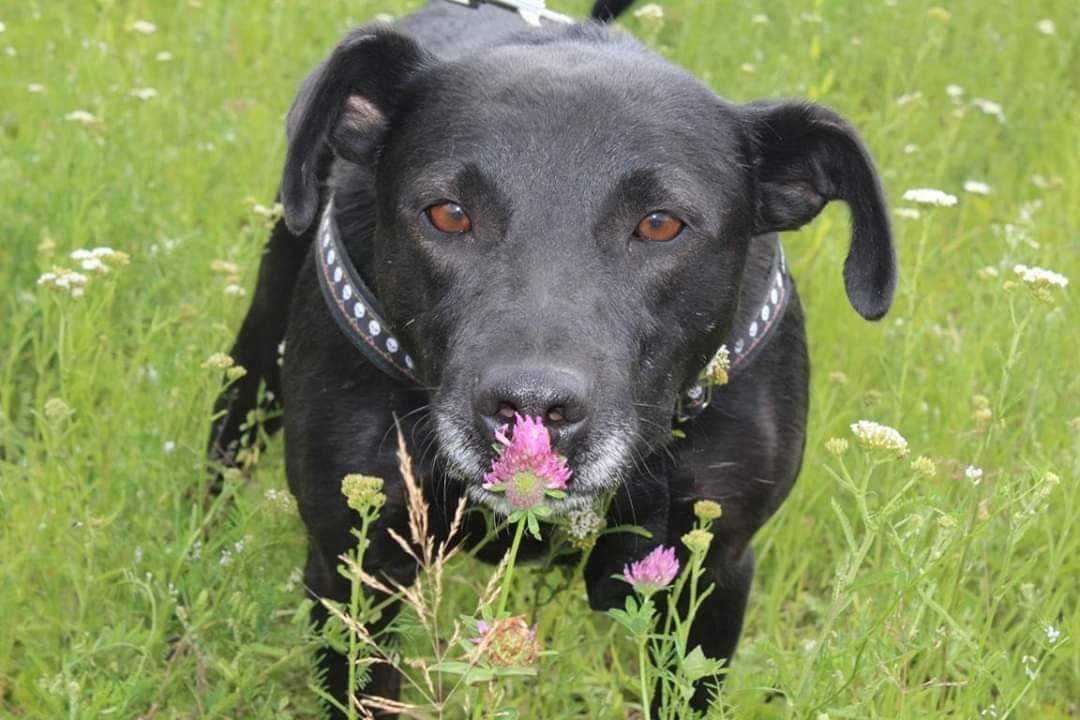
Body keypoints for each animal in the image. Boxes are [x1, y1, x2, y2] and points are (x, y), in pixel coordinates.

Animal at [208, 1, 894, 716]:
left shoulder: (713, 571)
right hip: (255, 361)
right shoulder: (356, 566)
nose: (531, 409)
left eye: (660, 224)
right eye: (448, 214)